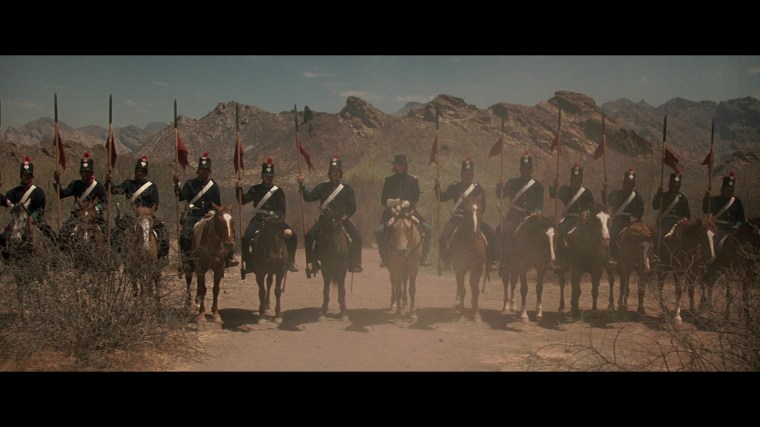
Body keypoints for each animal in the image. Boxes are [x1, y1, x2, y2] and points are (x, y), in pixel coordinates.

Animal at [450, 193, 487, 322]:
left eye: (480, 210)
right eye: (466, 210)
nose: (475, 231)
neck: (469, 243)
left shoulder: (478, 268)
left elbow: (475, 290)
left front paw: (476, 315)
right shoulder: (459, 269)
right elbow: (462, 290)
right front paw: (461, 314)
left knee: (472, 285)